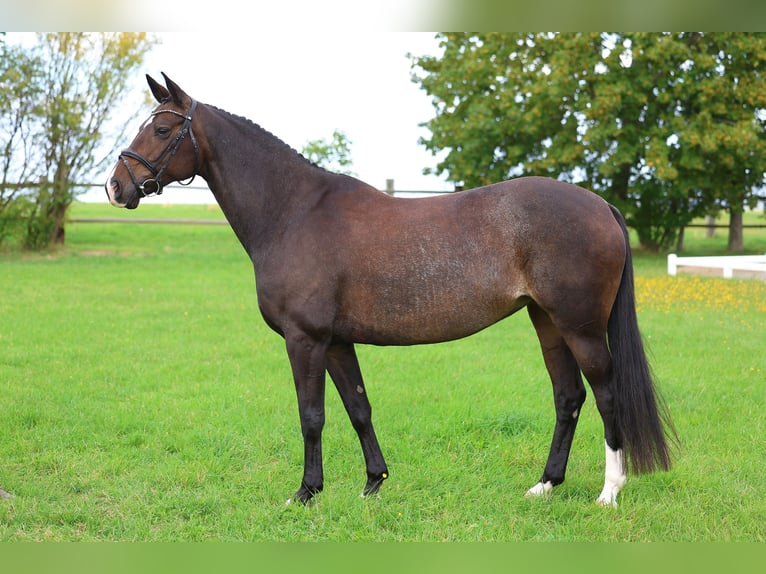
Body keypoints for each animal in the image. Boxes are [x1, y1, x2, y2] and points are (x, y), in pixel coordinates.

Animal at [104, 73, 675, 508]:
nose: (115, 187)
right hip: (547, 322)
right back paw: (545, 485)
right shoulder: (337, 341)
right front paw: (373, 483)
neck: (294, 212)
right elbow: (359, 409)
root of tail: (600, 205)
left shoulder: (305, 339)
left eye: (161, 128)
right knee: (568, 397)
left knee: (605, 394)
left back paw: (609, 492)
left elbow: (311, 417)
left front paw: (305, 493)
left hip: (581, 328)